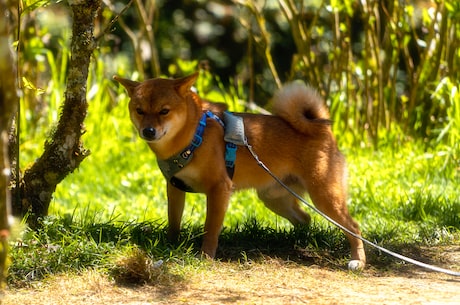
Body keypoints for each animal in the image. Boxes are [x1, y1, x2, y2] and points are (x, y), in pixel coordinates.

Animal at [114, 73, 366, 268]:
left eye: (164, 111)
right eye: (139, 110)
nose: (148, 131)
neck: (193, 134)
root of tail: (322, 129)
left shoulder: (219, 189)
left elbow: (210, 229)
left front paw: (205, 256)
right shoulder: (175, 187)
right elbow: (174, 221)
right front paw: (171, 245)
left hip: (324, 197)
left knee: (353, 227)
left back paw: (358, 261)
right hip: (274, 198)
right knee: (305, 219)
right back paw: (296, 242)